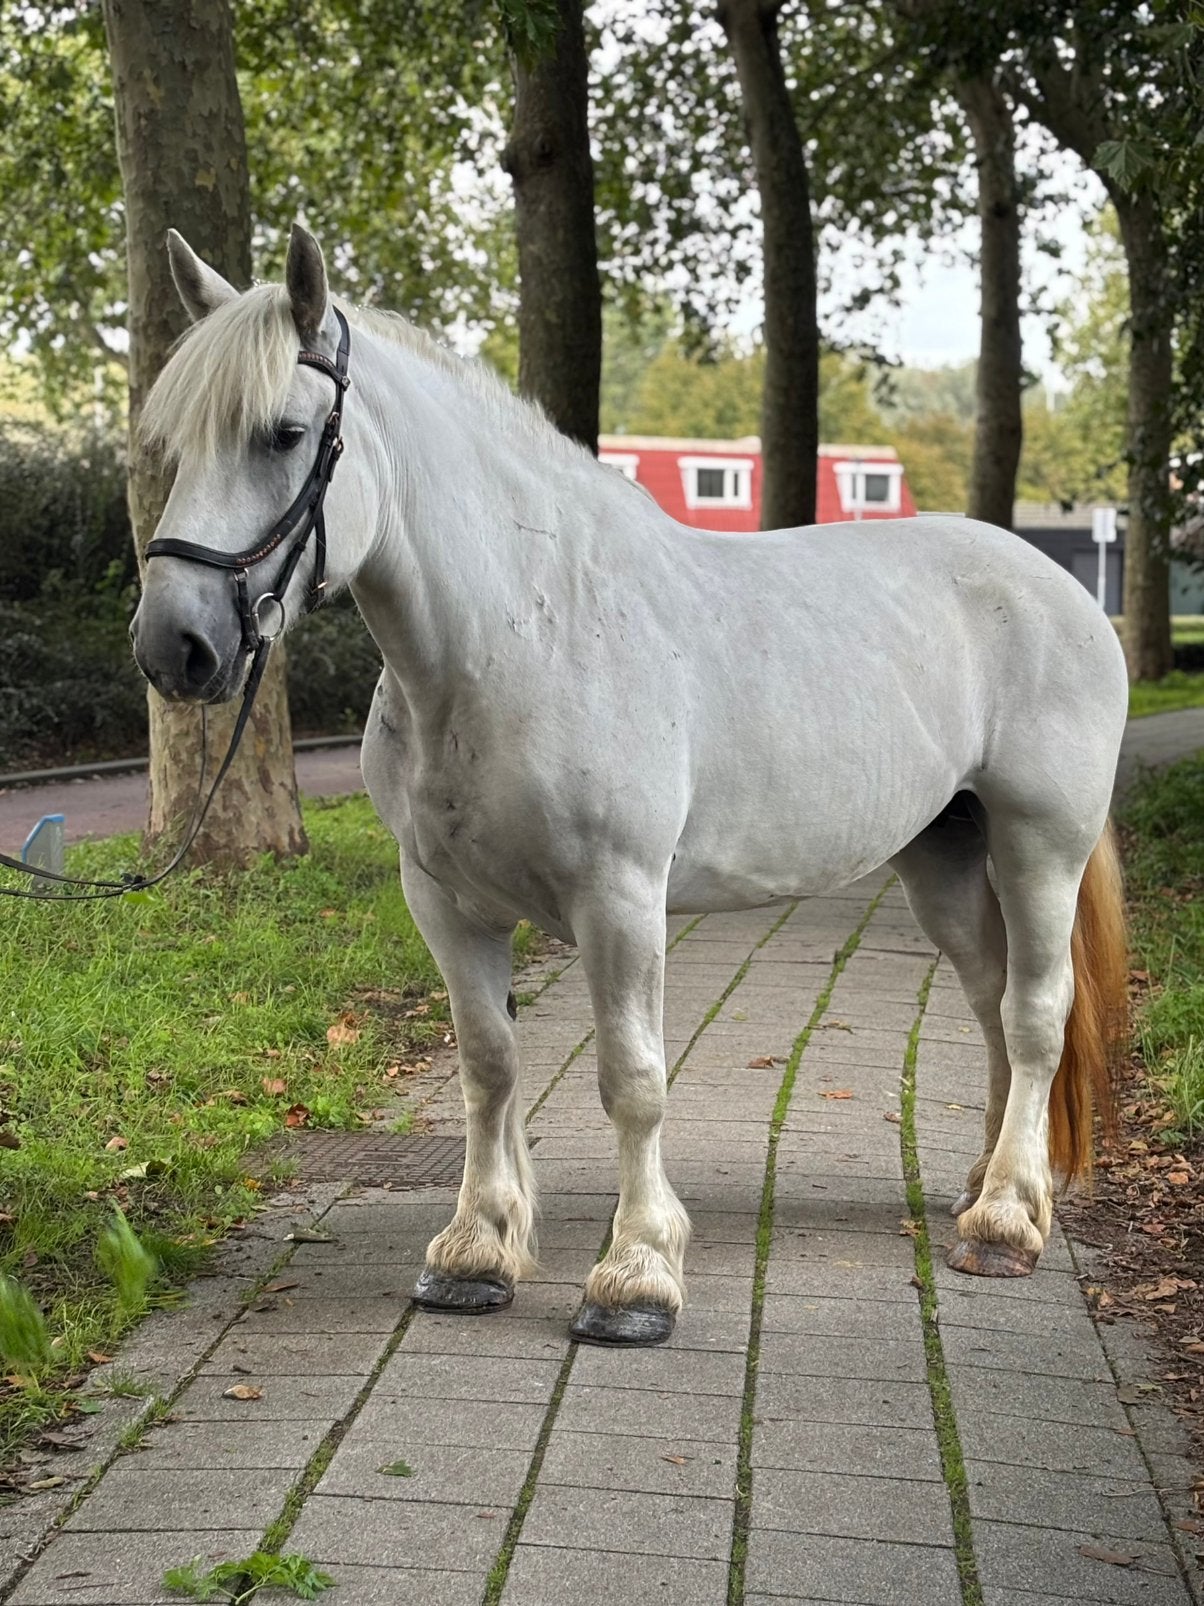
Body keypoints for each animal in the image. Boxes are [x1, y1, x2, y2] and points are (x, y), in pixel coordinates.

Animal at [131, 224, 1129, 1347]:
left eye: (285, 433)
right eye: (173, 446)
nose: (175, 647)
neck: (521, 632)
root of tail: (1064, 592)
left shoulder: (619, 897)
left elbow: (632, 1079)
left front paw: (636, 1274)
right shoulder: (444, 901)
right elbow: (488, 1064)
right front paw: (476, 1249)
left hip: (1038, 843)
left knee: (1036, 1009)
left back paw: (1005, 1222)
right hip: (945, 856)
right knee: (991, 997)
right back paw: (991, 1187)